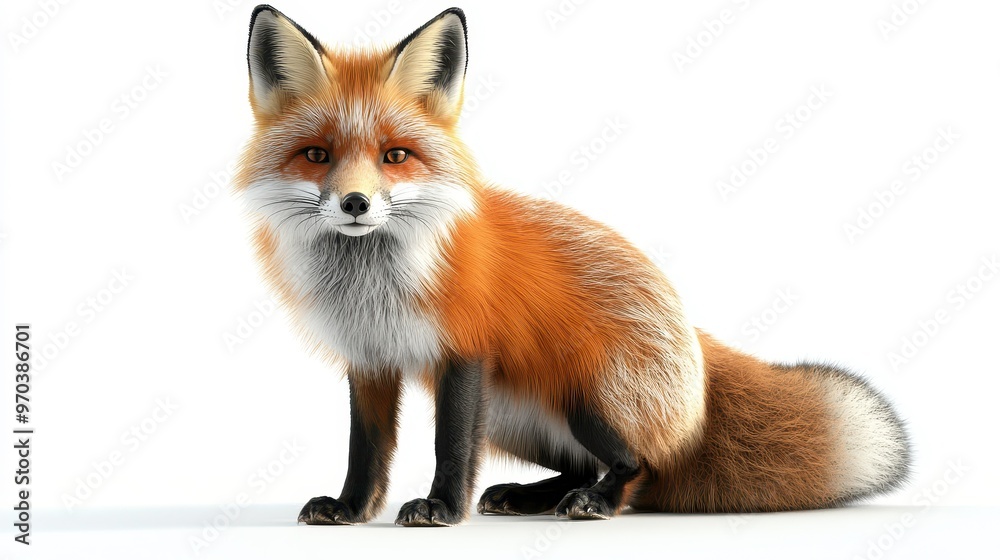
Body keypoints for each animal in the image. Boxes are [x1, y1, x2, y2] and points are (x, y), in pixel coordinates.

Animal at [233, 5, 911, 526]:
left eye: (394, 156)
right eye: (317, 155)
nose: (355, 202)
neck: (373, 284)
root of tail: (694, 348)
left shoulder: (466, 348)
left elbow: (450, 444)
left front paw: (442, 509)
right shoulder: (371, 357)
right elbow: (366, 450)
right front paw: (351, 510)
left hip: (586, 397)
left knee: (638, 465)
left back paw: (594, 502)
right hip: (516, 419)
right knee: (581, 464)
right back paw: (531, 495)